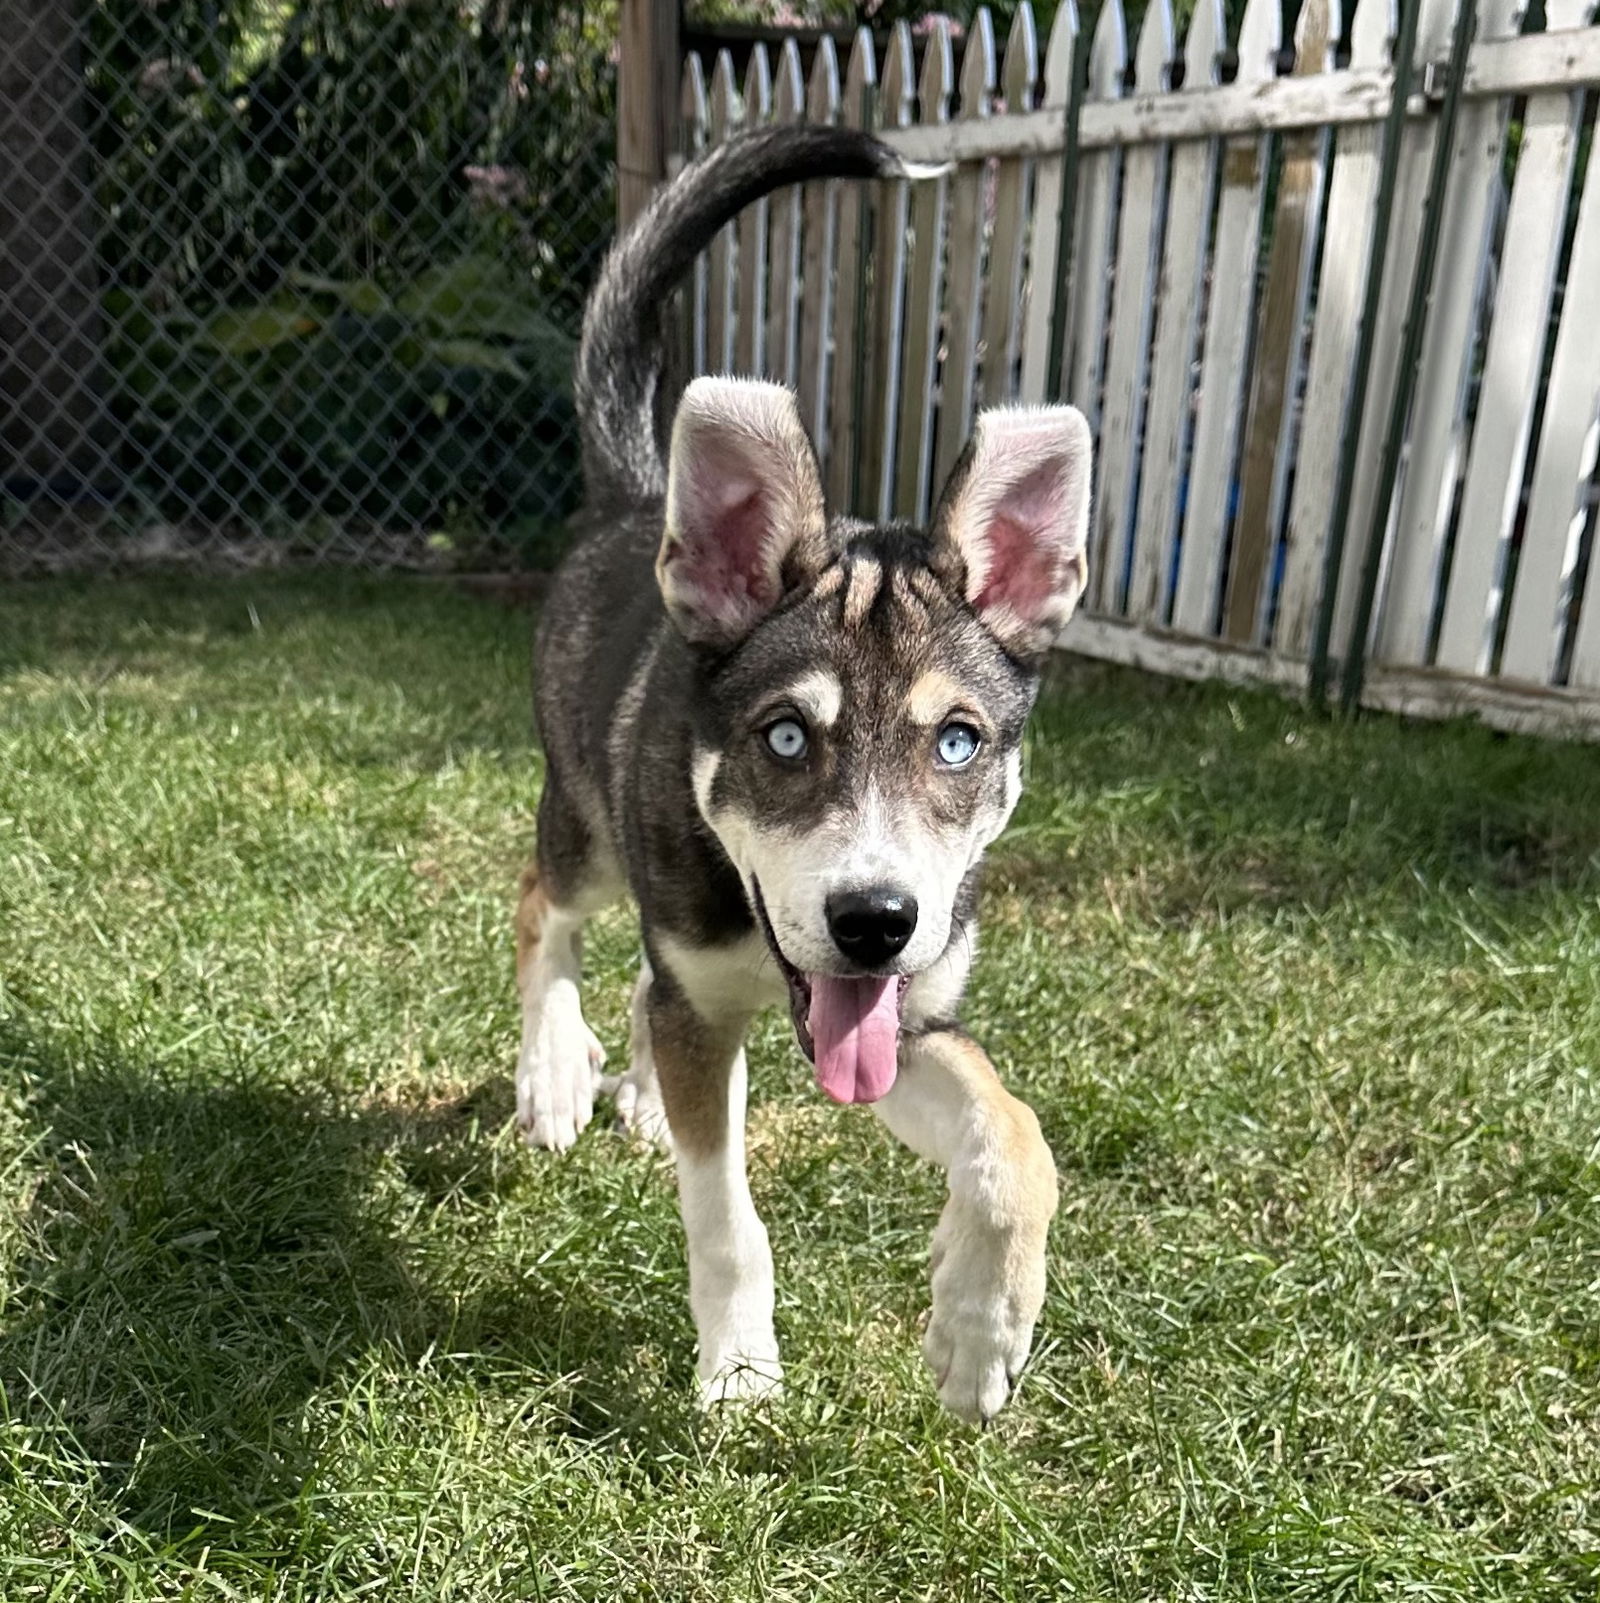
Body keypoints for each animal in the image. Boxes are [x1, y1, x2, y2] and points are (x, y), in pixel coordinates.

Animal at [519, 128, 1096, 1429]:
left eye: (958, 742)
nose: (875, 919)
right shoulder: (728, 998)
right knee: (547, 911)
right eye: (785, 737)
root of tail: (638, 499)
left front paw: (979, 1324)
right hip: (580, 818)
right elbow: (725, 1215)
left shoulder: (906, 1014)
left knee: (648, 985)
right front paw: (738, 1369)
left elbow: (1014, 1131)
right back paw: (555, 1072)